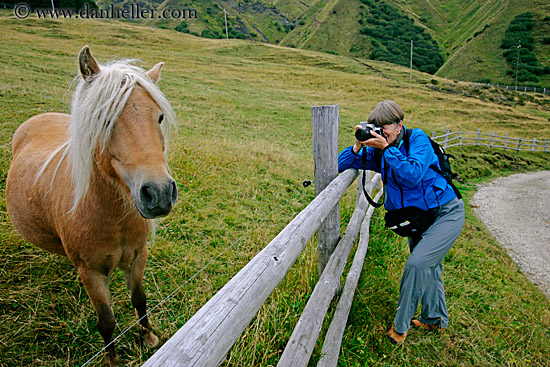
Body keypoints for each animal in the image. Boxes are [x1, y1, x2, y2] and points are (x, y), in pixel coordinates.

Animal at [6, 46, 179, 367]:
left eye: (160, 117)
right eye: (104, 118)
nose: (159, 193)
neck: (113, 218)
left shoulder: (138, 257)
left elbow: (140, 299)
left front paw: (149, 338)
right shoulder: (92, 273)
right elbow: (106, 321)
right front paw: (112, 360)